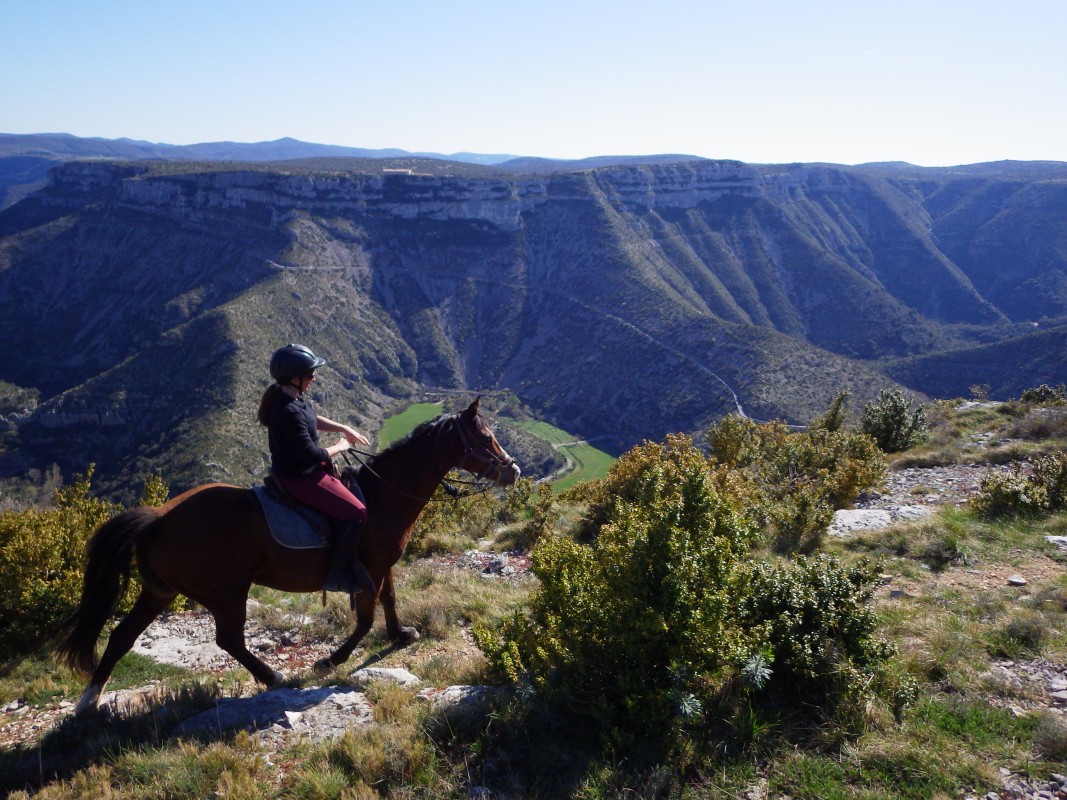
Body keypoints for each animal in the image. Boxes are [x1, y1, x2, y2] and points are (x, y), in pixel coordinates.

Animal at [56, 398, 518, 716]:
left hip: (160, 592)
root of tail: (159, 518)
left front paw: (401, 634)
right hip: (226, 592)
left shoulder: (380, 565)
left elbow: (388, 601)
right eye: (485, 438)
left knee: (122, 636)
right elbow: (365, 618)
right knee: (229, 640)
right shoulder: (368, 567)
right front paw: (331, 659)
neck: (383, 494)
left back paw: (88, 701)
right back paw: (273, 676)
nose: (513, 470)